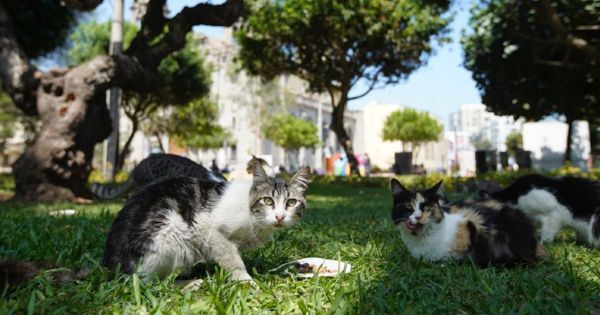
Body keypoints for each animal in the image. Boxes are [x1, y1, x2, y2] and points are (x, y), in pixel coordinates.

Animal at [102, 163, 310, 282]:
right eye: (268, 201)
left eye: (291, 203)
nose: (280, 217)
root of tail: (109, 265)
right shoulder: (207, 230)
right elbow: (230, 257)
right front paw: (245, 280)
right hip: (170, 233)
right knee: (150, 284)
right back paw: (191, 283)